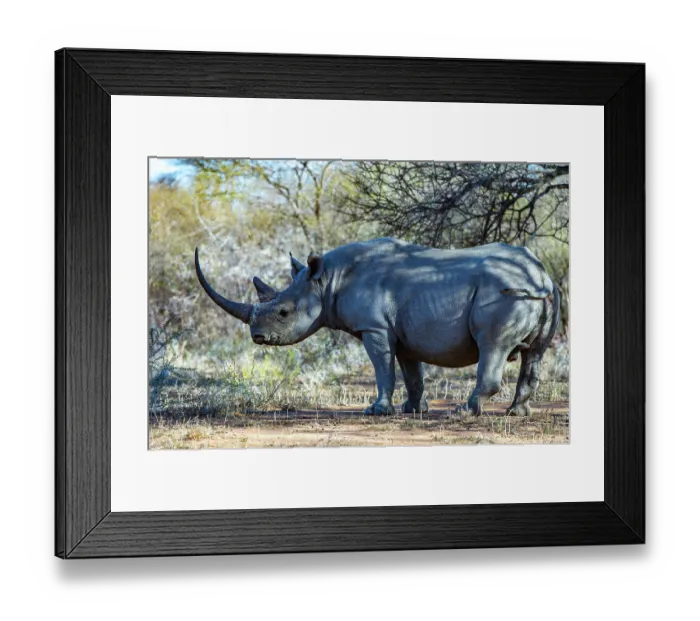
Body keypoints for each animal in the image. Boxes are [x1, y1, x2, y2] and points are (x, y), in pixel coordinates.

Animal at [194, 238, 560, 417]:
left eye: (283, 313)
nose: (257, 337)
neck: (327, 280)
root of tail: (540, 274)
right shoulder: (405, 332)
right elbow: (412, 374)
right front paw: (414, 410)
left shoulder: (374, 328)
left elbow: (383, 369)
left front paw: (377, 410)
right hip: (547, 291)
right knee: (535, 354)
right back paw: (517, 414)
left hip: (500, 293)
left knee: (492, 346)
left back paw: (462, 413)